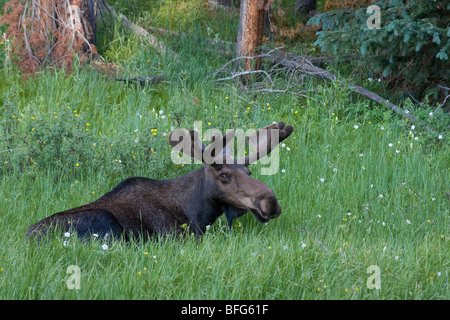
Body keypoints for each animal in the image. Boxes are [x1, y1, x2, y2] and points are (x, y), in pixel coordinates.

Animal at [26, 121, 294, 241]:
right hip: (105, 221)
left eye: (249, 172)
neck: (197, 213)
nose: (270, 202)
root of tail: (28, 239)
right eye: (224, 175)